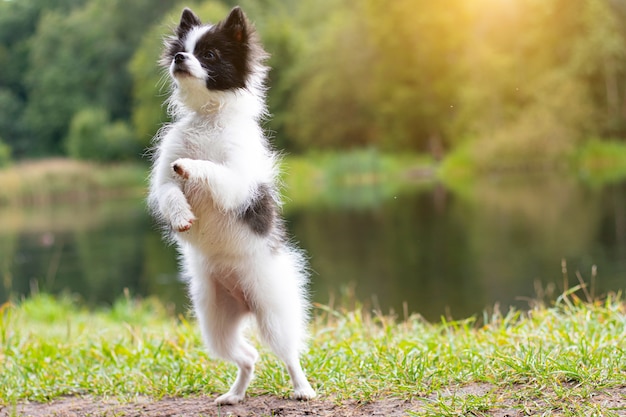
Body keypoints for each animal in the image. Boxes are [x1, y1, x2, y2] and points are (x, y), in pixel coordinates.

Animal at [145, 5, 312, 404]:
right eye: (182, 49)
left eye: (209, 55)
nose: (179, 59)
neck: (209, 116)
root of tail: (243, 298)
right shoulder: (162, 184)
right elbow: (171, 191)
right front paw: (182, 216)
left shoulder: (236, 182)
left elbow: (211, 169)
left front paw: (191, 166)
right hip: (215, 324)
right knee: (248, 357)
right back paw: (234, 395)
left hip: (273, 314)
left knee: (288, 354)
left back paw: (303, 388)